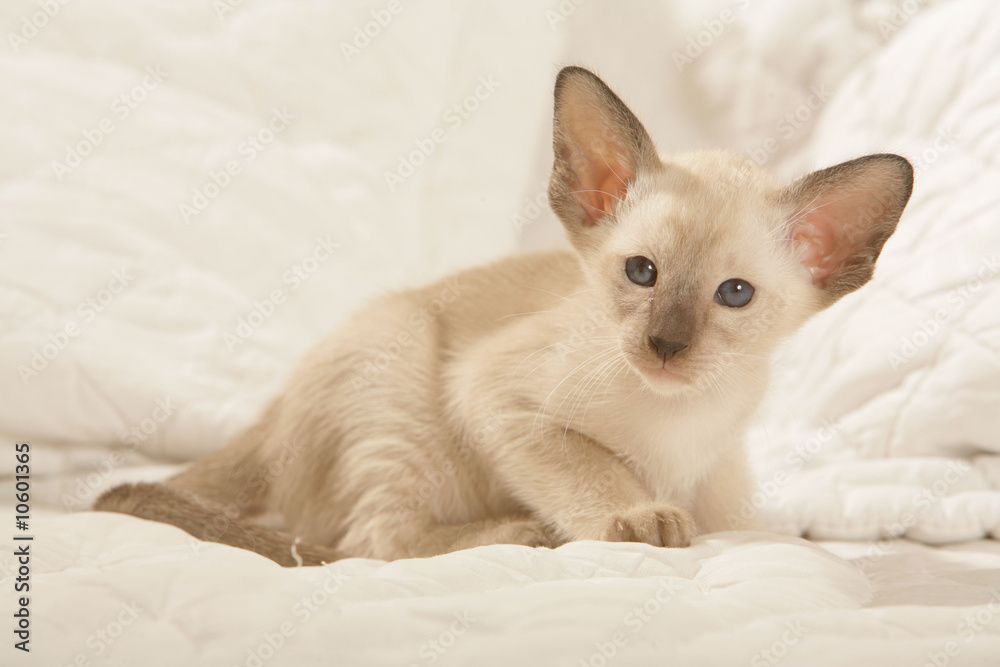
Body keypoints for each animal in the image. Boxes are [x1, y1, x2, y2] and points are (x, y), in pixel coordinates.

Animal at [95, 68, 916, 568]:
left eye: (735, 295)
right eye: (642, 273)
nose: (665, 345)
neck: (684, 419)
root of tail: (270, 415)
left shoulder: (726, 487)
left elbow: (741, 526)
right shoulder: (497, 396)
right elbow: (594, 470)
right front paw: (639, 519)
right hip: (402, 382)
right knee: (367, 544)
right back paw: (522, 533)